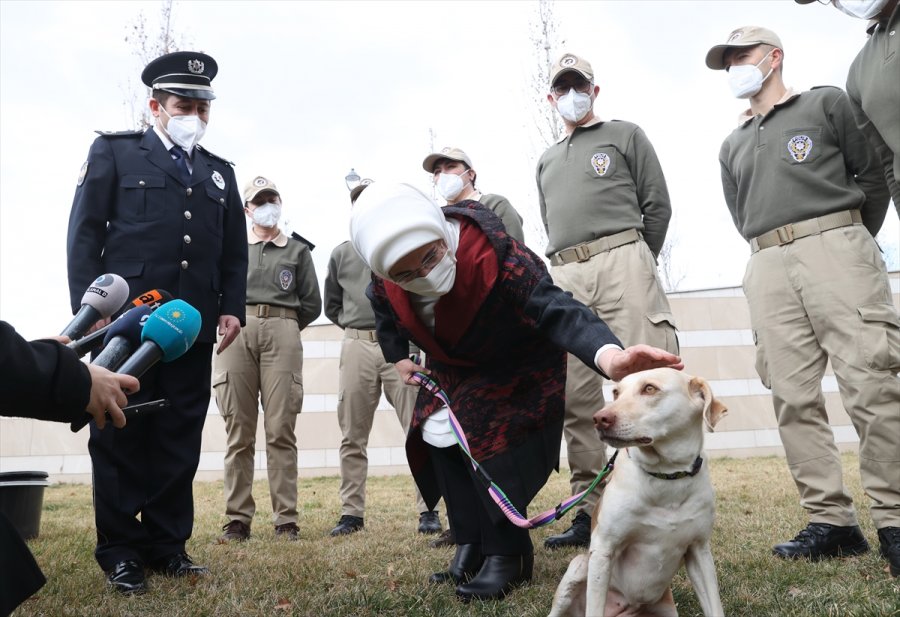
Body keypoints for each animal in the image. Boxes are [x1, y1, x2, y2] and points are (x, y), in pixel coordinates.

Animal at [544, 368, 728, 612]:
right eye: (616, 392)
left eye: (649, 388)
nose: (599, 419)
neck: (667, 476)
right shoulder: (603, 550)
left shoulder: (699, 552)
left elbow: (715, 606)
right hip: (579, 565)